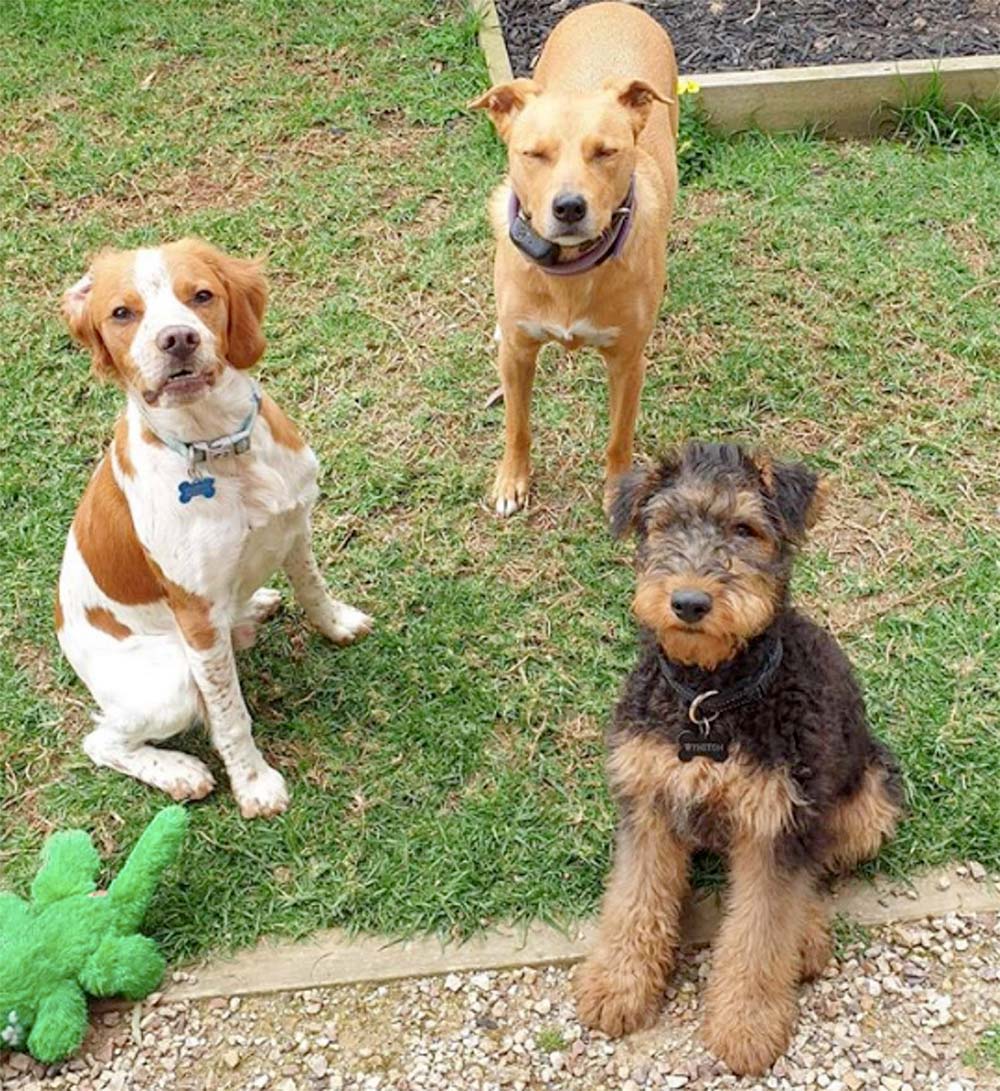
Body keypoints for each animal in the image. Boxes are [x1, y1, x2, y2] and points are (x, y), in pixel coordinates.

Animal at [56, 238, 372, 820]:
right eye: (122, 313)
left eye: (201, 295)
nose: (177, 339)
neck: (219, 449)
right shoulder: (197, 616)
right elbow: (229, 714)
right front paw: (254, 785)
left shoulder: (295, 526)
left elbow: (314, 590)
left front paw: (337, 625)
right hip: (172, 681)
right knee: (102, 740)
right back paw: (178, 771)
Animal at [471, 3, 680, 514]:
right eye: (533, 153)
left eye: (606, 151)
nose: (569, 207)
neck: (568, 270)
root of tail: (611, 7)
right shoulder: (518, 353)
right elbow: (516, 424)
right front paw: (512, 481)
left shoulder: (627, 363)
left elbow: (619, 438)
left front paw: (617, 490)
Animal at [571, 440, 902, 1073]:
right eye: (665, 524)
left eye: (746, 529)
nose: (689, 603)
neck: (710, 696)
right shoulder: (647, 803)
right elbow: (634, 898)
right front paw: (619, 986)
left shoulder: (776, 821)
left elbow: (761, 930)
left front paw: (746, 1026)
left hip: (869, 801)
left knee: (816, 870)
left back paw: (807, 934)